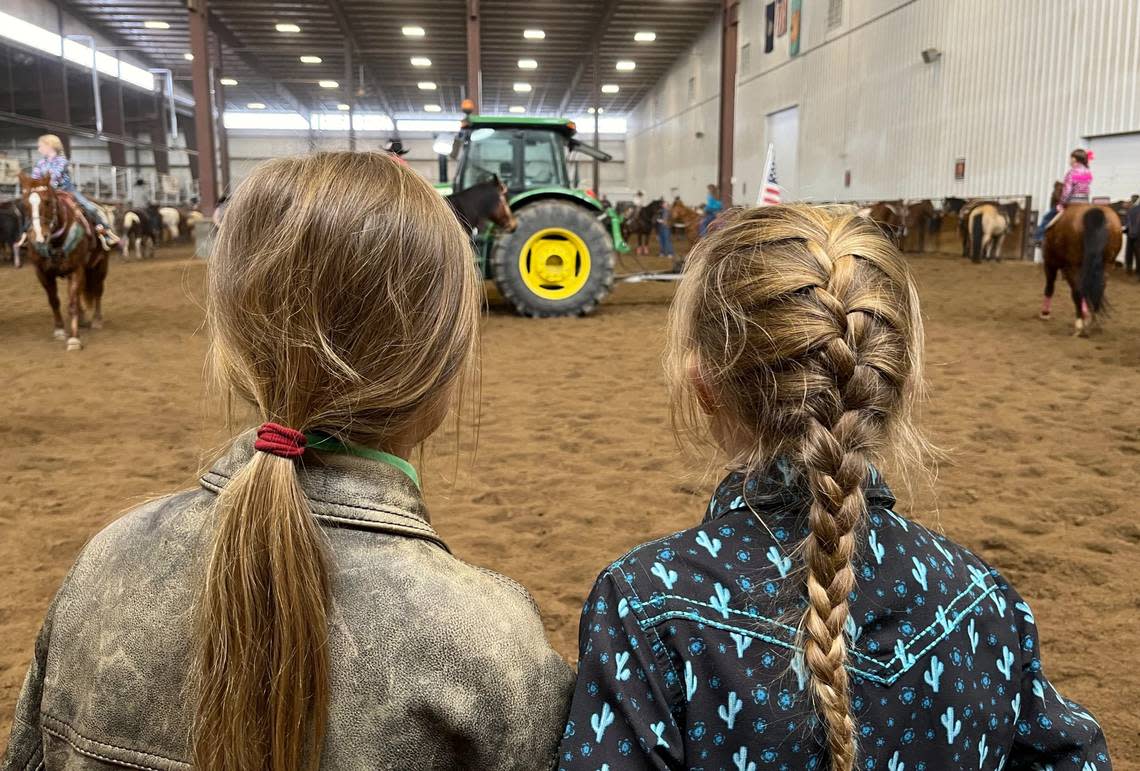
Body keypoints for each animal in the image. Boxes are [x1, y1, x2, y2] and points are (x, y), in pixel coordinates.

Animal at [17, 173, 110, 351]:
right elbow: (54, 301)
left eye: (47, 201)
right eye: (24, 204)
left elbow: (72, 303)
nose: (38, 237)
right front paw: (60, 330)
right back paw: (82, 320)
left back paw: (97, 320)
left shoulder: (76, 269)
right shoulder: (43, 273)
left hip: (100, 266)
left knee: (97, 291)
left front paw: (74, 339)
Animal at [1044, 203, 1121, 335]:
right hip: (1107, 265)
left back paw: (1080, 326)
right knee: (1099, 287)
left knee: (1077, 291)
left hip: (1072, 267)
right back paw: (1093, 322)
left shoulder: (1051, 264)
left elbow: (1050, 287)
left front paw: (1045, 314)